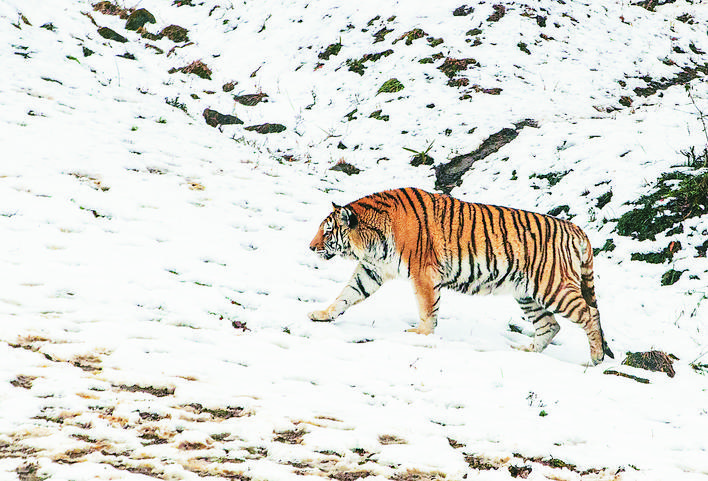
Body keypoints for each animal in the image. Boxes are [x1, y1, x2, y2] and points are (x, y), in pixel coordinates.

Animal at [308, 187, 614, 365]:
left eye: (327, 232)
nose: (310, 247)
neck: (371, 239)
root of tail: (577, 229)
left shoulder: (422, 273)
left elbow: (427, 308)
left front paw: (421, 334)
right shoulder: (372, 270)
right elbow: (347, 294)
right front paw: (323, 315)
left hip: (552, 286)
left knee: (590, 314)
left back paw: (595, 358)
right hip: (527, 294)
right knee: (551, 326)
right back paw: (526, 352)